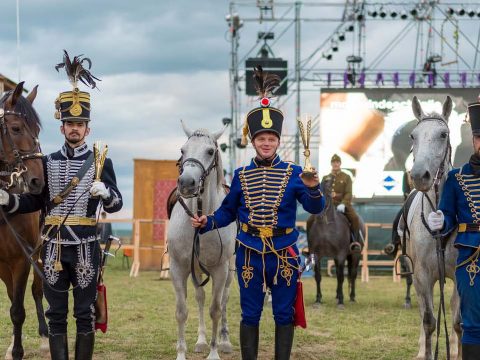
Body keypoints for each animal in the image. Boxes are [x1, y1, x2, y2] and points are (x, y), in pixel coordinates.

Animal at [168, 121, 237, 360]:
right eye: (182, 150)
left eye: (209, 151)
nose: (186, 183)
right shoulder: (178, 268)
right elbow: (181, 311)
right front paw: (181, 353)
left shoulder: (220, 269)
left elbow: (215, 310)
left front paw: (215, 352)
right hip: (196, 270)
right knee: (200, 297)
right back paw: (200, 341)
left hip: (229, 271)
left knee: (224, 300)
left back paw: (224, 341)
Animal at [306, 177, 362, 310]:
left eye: (327, 190)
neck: (326, 226)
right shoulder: (316, 255)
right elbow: (318, 277)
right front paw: (318, 300)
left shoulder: (341, 255)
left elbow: (342, 277)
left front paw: (341, 302)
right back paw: (337, 296)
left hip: (355, 255)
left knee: (352, 274)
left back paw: (352, 298)